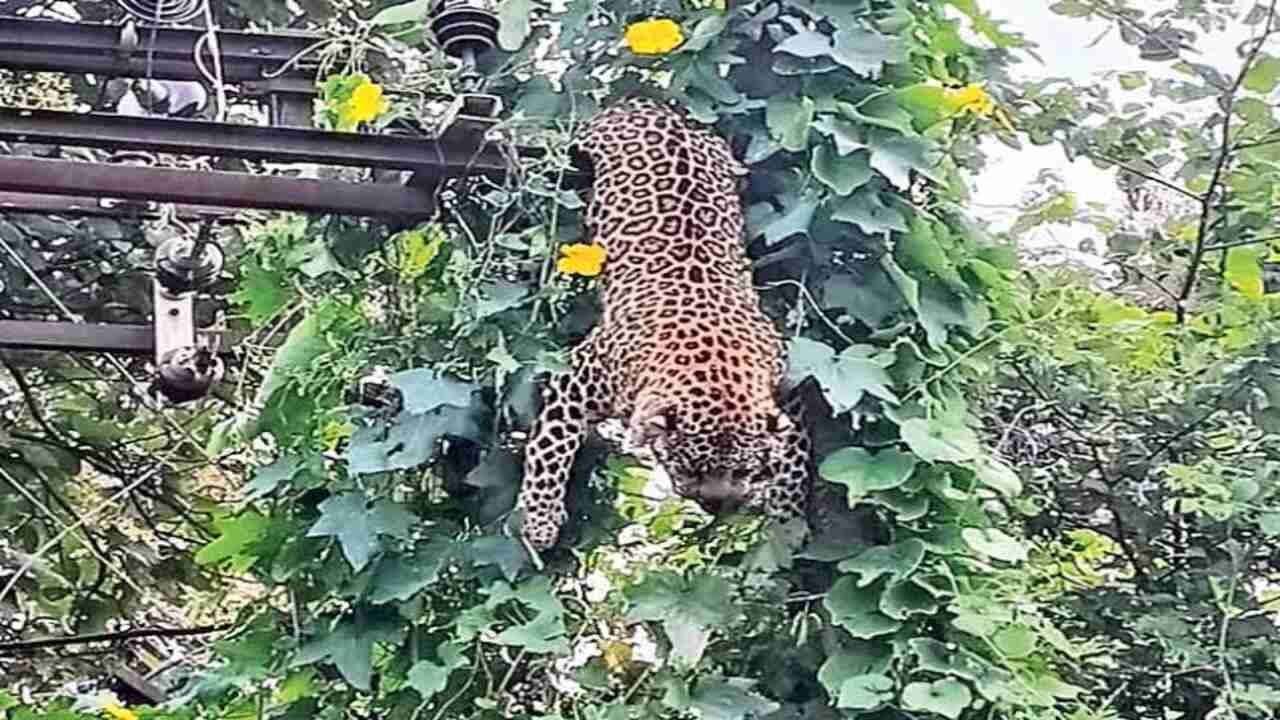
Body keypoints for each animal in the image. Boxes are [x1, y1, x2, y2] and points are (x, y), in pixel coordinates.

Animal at [518, 97, 813, 551]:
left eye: (742, 471)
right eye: (689, 468)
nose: (718, 506)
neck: (714, 359)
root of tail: (651, 105)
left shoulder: (782, 376)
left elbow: (795, 444)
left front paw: (788, 508)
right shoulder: (576, 377)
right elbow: (552, 444)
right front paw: (540, 519)